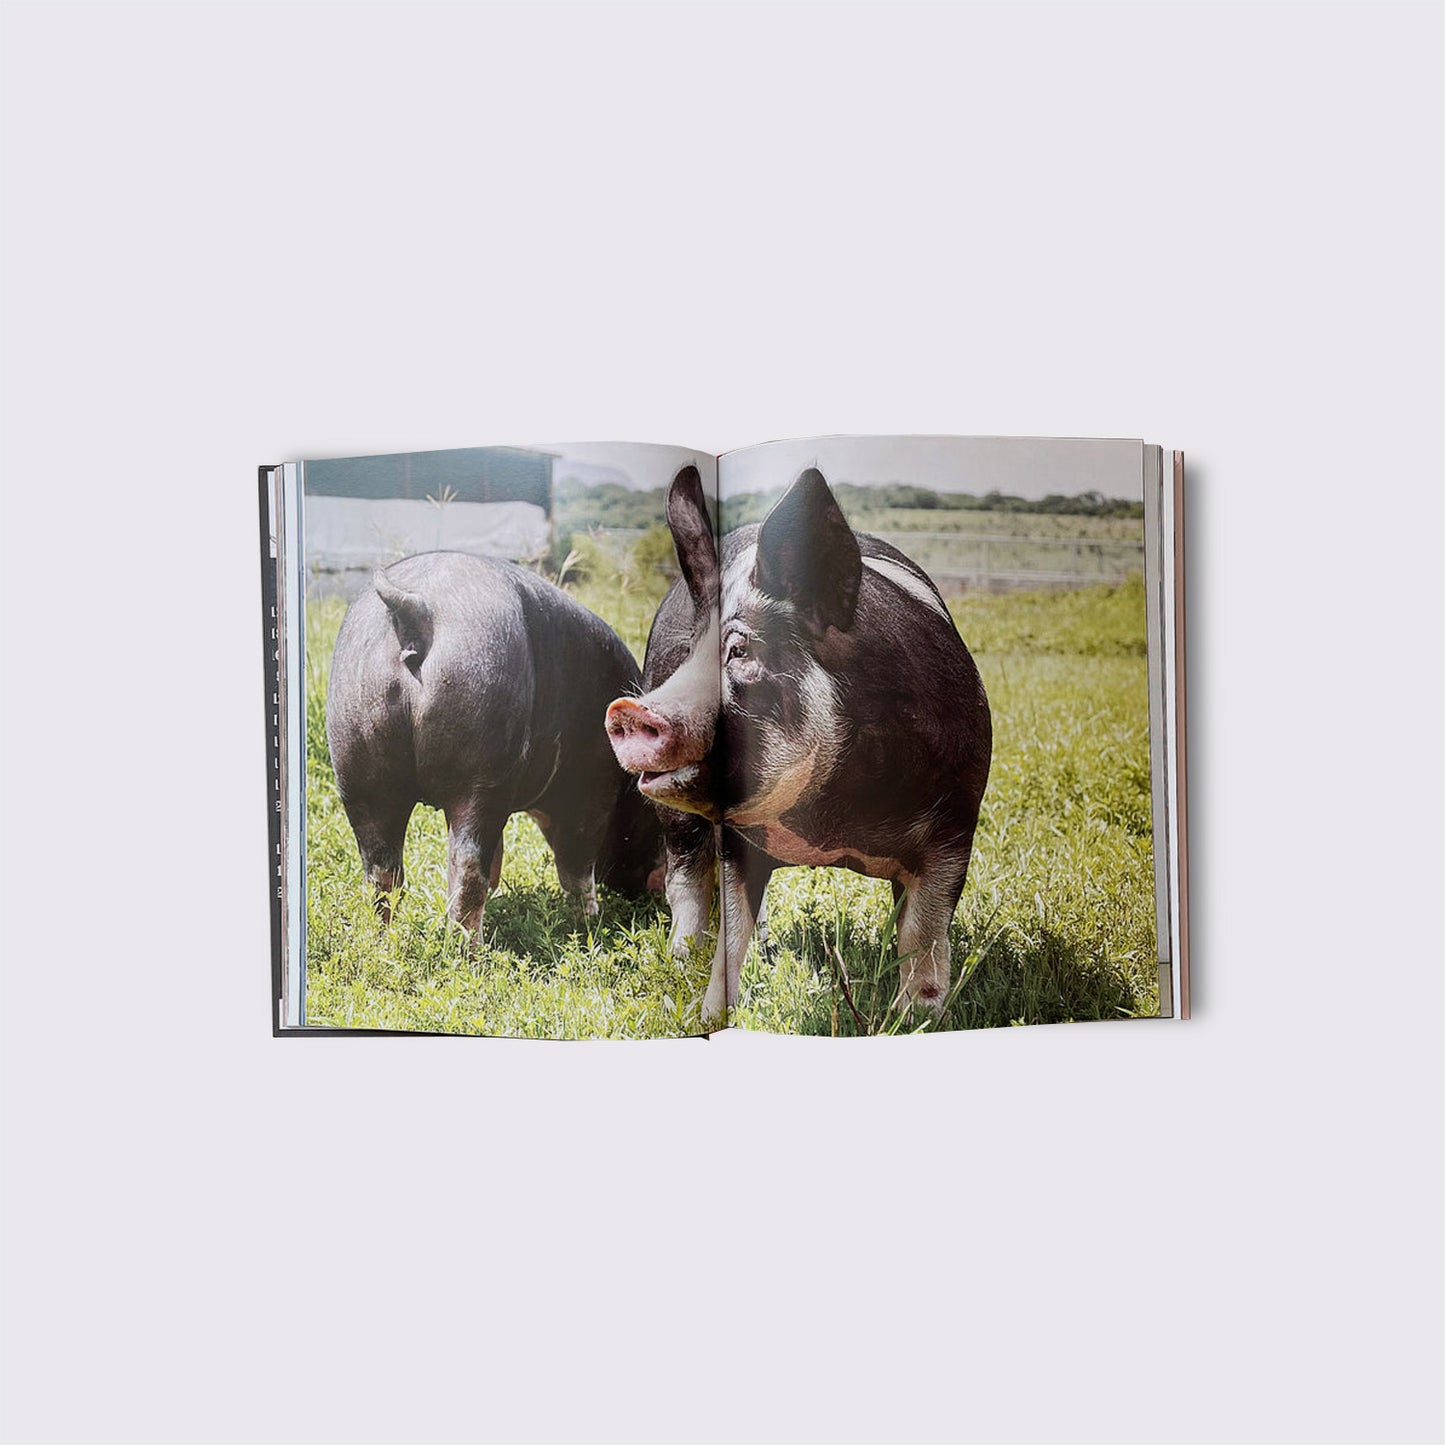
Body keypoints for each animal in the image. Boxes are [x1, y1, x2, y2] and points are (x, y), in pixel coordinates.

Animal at [326, 551, 662, 934]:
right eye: (657, 814)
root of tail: (415, 607)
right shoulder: (595, 783)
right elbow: (577, 862)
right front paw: (589, 922)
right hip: (480, 764)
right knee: (468, 862)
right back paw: (469, 944)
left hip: (358, 767)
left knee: (382, 868)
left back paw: (385, 935)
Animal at [606, 465, 992, 1026]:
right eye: (689, 653)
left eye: (739, 650)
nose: (626, 710)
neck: (829, 826)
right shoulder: (737, 839)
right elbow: (729, 933)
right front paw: (710, 1019)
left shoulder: (956, 824)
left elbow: (923, 933)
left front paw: (917, 1021)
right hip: (675, 820)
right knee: (686, 881)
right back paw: (683, 959)